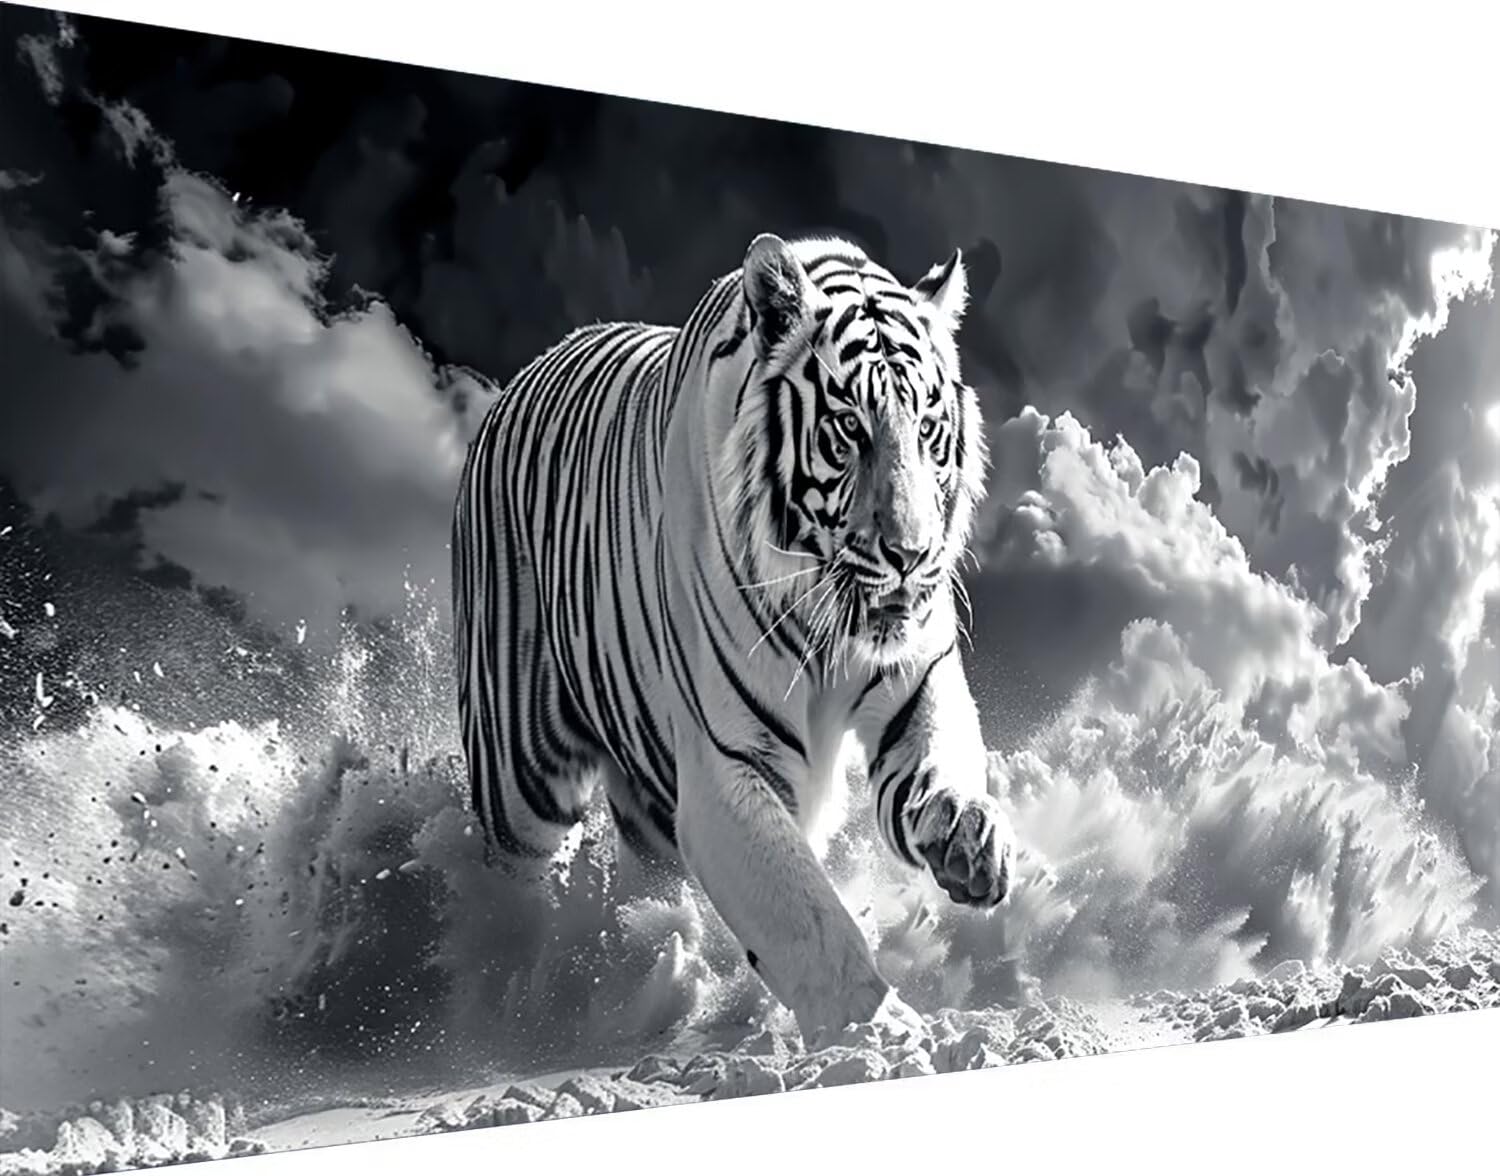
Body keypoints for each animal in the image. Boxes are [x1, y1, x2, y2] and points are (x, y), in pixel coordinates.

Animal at [451, 232, 1014, 1042]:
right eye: (850, 428)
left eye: (928, 428)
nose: (911, 555)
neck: (830, 622)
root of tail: (528, 372)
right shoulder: (725, 768)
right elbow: (808, 917)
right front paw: (880, 1033)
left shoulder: (918, 679)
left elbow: (947, 760)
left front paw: (968, 840)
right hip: (519, 780)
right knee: (516, 889)